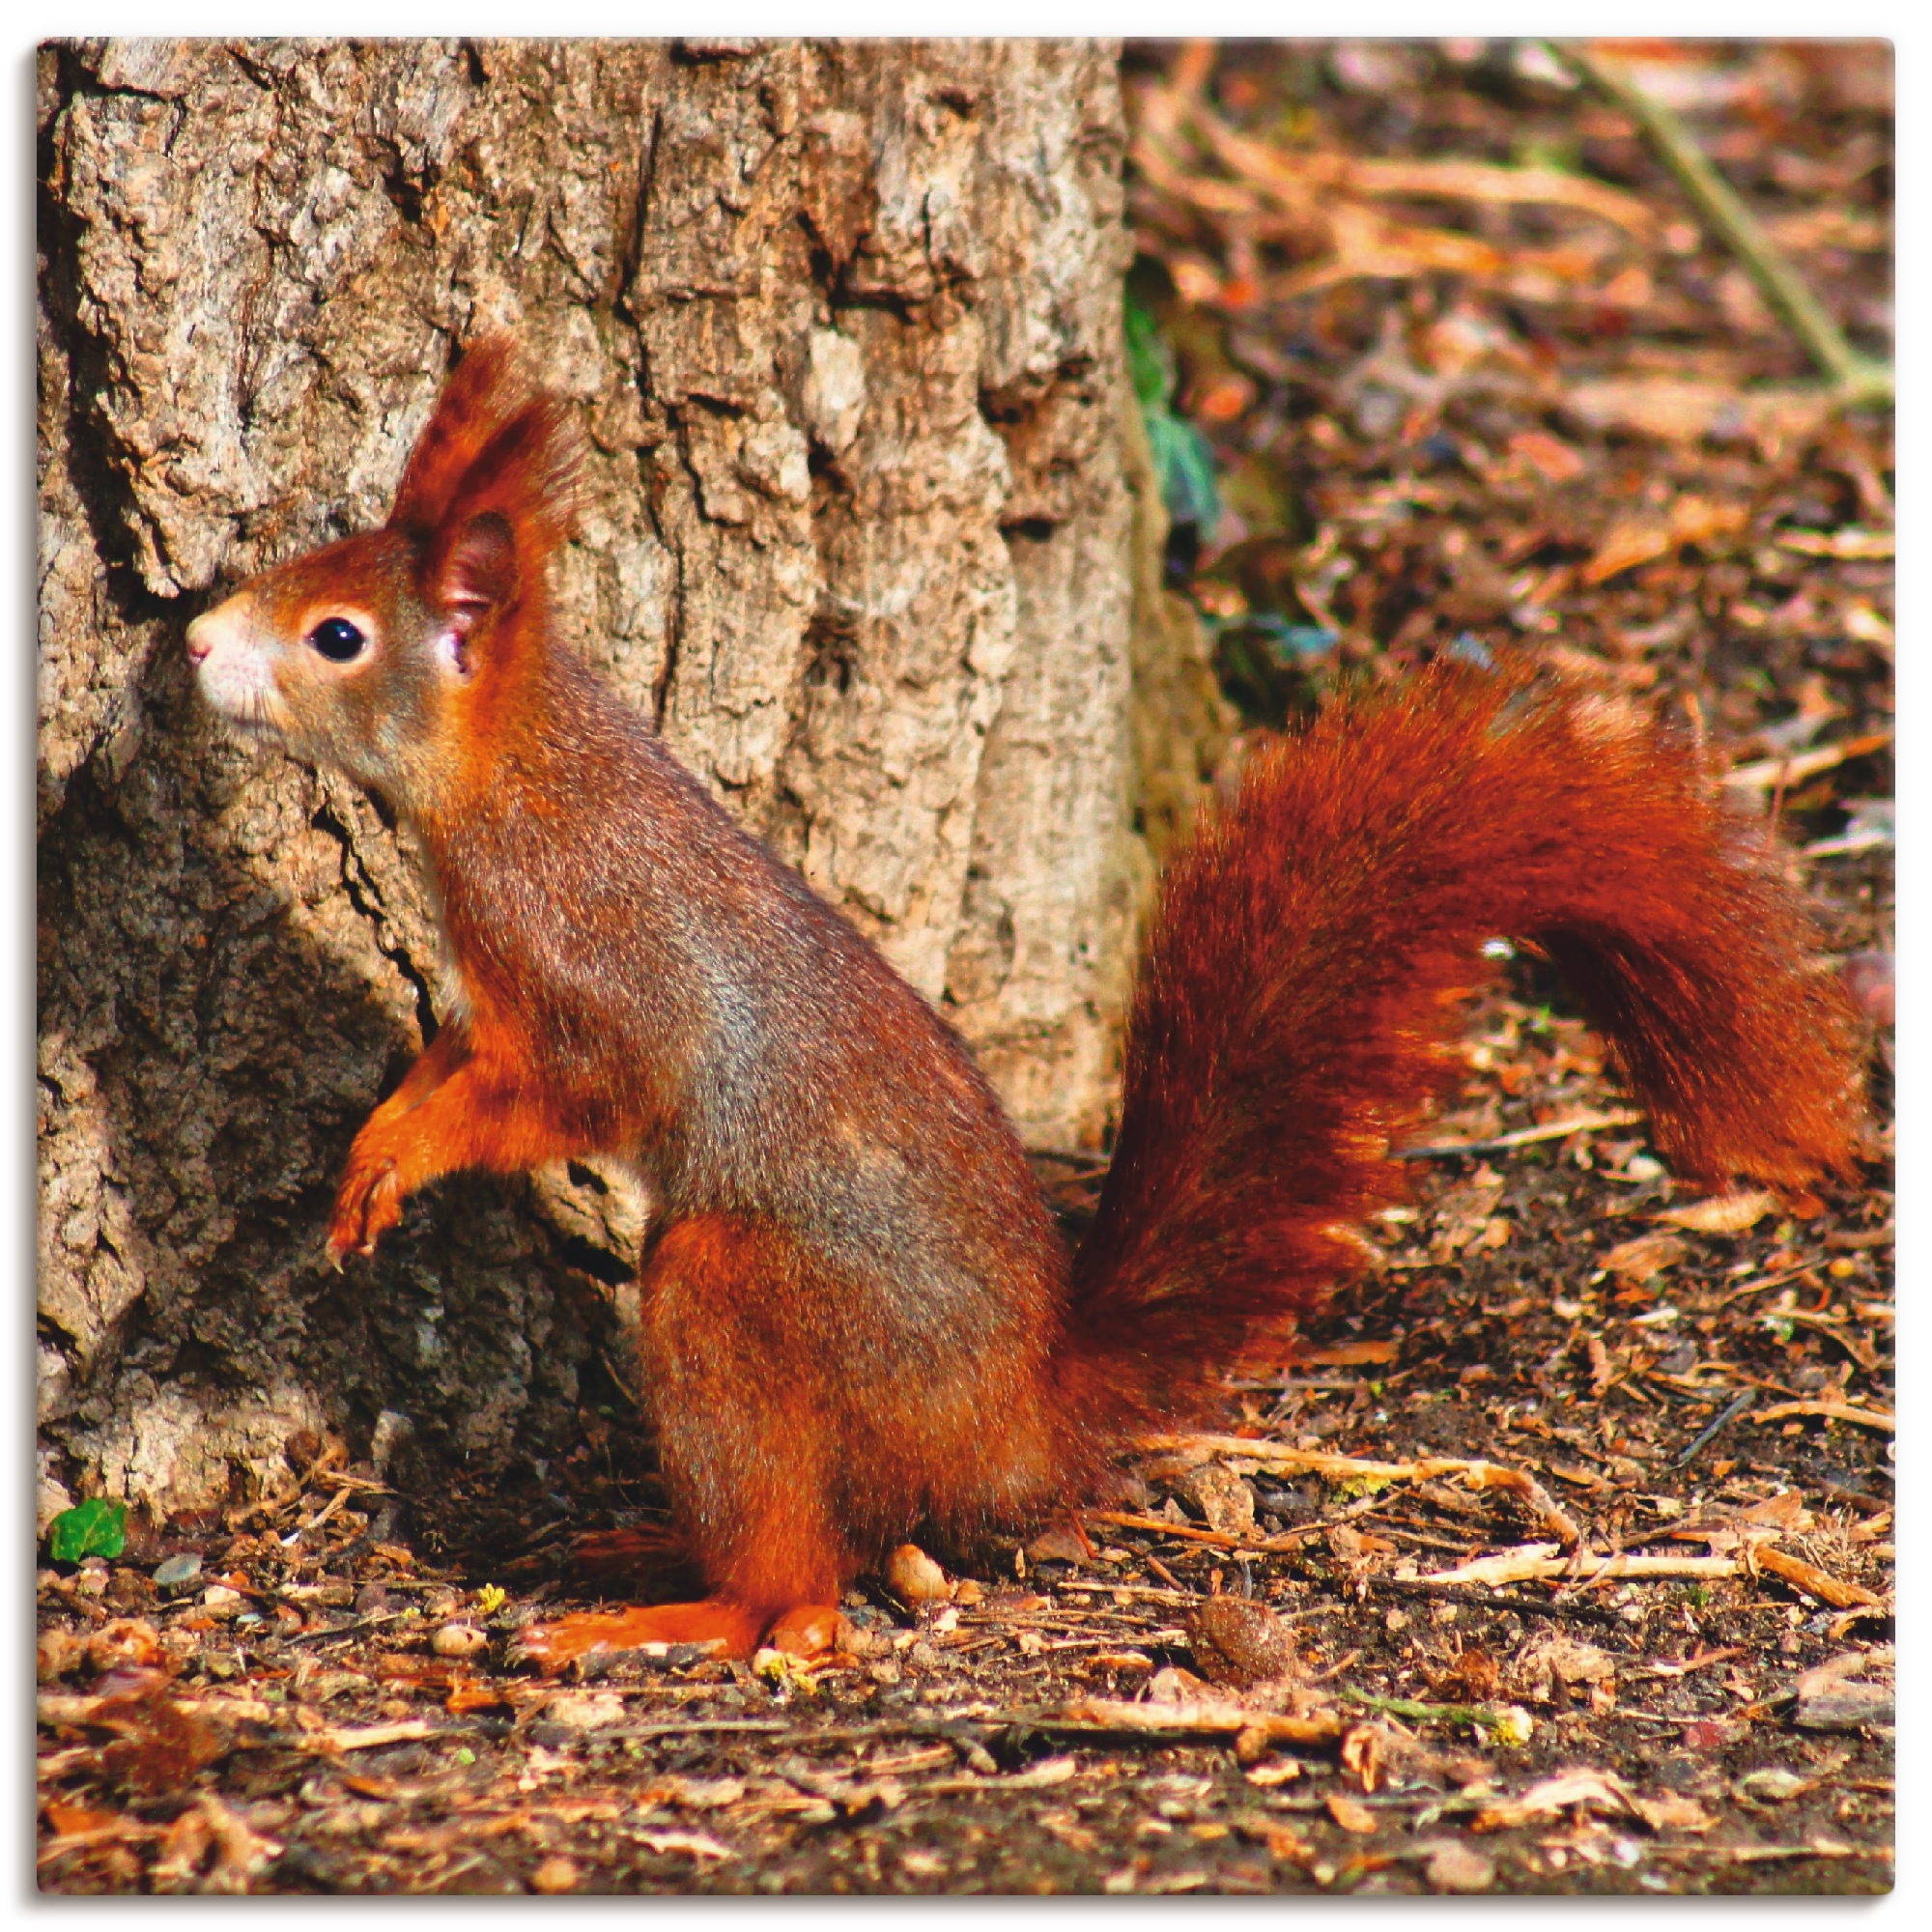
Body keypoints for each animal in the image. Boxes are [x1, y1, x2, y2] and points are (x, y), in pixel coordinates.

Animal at [186, 336, 1866, 1663]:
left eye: (338, 637)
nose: (195, 638)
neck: (517, 779)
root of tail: (1023, 1415)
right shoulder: (493, 992)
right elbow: (450, 1060)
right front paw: (373, 1145)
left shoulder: (601, 977)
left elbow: (561, 1093)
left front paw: (403, 1159)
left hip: (746, 1297)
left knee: (804, 1583)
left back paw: (693, 1610)